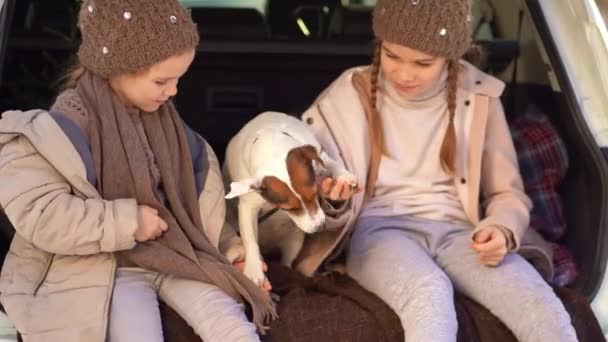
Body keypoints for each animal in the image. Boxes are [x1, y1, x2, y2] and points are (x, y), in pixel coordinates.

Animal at [223, 111, 356, 284]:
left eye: (315, 193)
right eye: (289, 208)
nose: (320, 227)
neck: (271, 143)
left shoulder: (319, 155)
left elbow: (330, 162)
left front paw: (344, 176)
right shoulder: (247, 206)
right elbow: (250, 239)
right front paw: (253, 268)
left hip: (295, 243)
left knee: (286, 263)